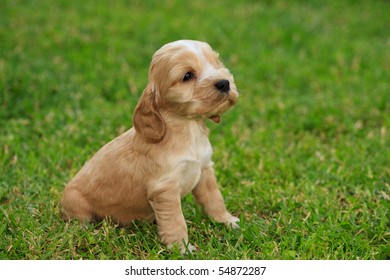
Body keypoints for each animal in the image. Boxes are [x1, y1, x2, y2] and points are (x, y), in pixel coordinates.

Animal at [61, 38, 239, 252]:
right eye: (187, 76)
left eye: (215, 62)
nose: (224, 83)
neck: (189, 127)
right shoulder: (165, 189)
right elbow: (176, 220)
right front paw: (181, 247)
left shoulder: (204, 169)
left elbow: (214, 199)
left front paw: (226, 221)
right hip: (75, 201)